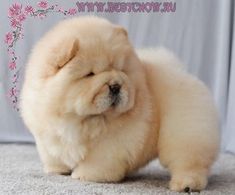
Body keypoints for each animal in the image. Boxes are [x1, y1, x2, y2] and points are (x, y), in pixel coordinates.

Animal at [20, 16, 220, 192]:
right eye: (90, 74)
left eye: (120, 69)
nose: (115, 85)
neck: (81, 119)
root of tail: (182, 73)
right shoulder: (48, 137)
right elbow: (54, 154)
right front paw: (57, 170)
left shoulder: (112, 143)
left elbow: (98, 161)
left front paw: (85, 175)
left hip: (185, 134)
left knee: (189, 162)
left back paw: (186, 185)